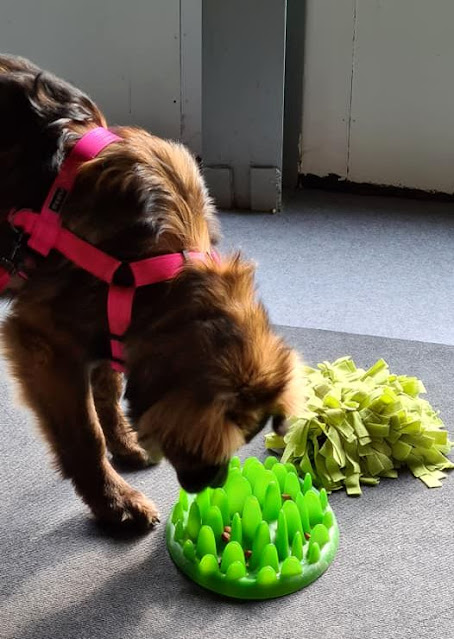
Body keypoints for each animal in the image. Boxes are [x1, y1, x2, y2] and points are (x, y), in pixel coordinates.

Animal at [0, 54, 305, 531]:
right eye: (211, 441)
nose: (213, 485)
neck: (158, 266)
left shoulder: (110, 319)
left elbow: (107, 388)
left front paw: (124, 443)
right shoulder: (43, 344)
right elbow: (84, 435)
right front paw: (114, 502)